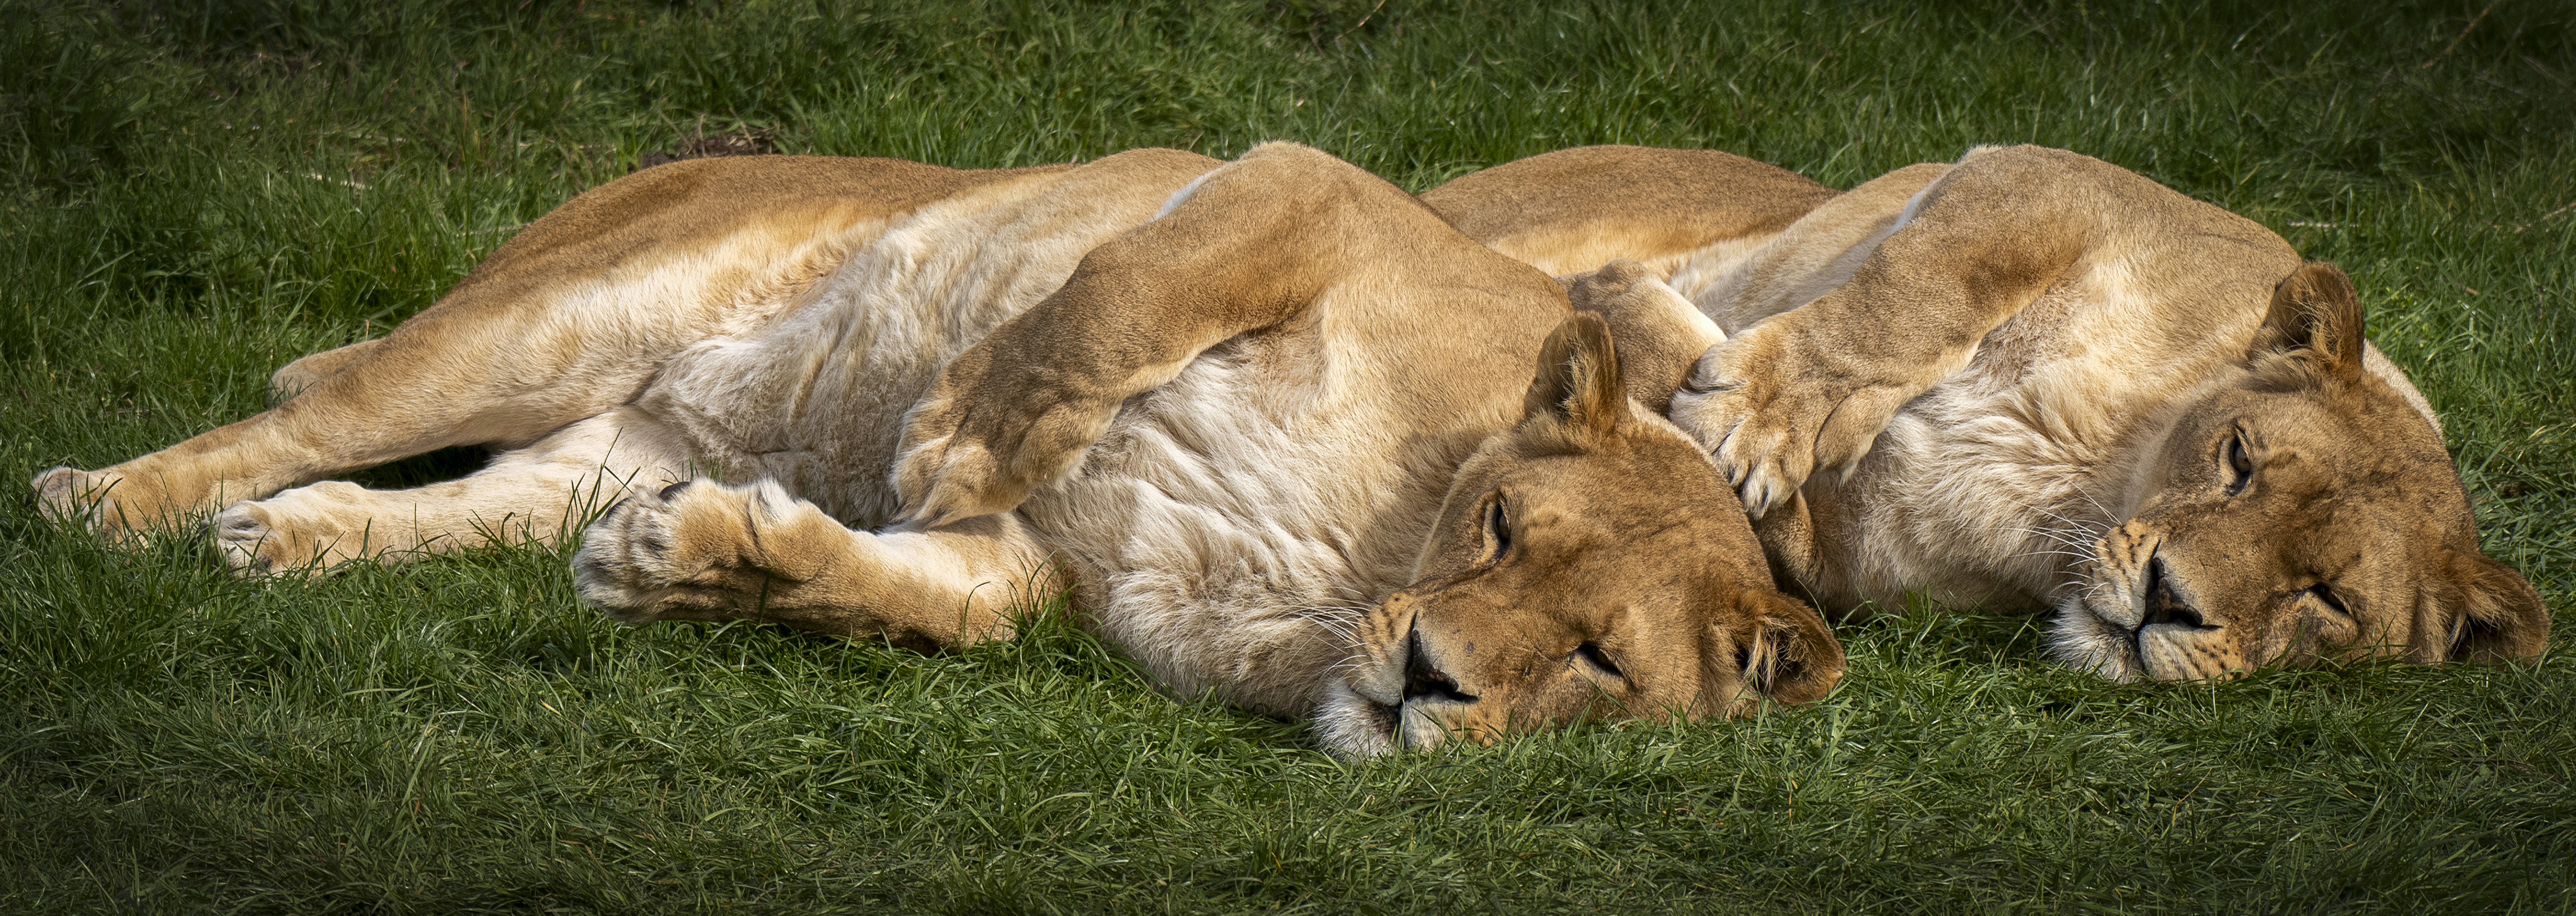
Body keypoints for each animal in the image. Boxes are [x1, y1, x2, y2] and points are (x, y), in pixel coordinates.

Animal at [31, 143, 1843, 756]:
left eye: (1597, 661)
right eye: (1500, 530)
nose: (1427, 682)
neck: (1343, 577)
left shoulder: (1061, 567)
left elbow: (926, 597)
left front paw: (708, 564)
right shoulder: (1302, 183)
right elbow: (1119, 295)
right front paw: (963, 427)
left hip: (607, 434)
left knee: (449, 503)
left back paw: (293, 541)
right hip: (543, 327)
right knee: (305, 408)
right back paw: (98, 503)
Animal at [1421, 144, 2550, 681]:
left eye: (2328, 601)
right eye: (2238, 459)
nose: (2168, 601)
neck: (2093, 474)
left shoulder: (1852, 562)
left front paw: (1633, 321)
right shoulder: (2050, 178)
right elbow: (1921, 286)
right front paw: (1758, 406)